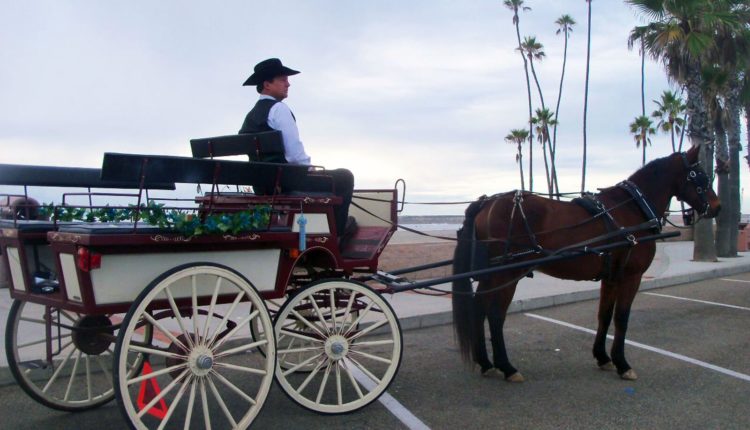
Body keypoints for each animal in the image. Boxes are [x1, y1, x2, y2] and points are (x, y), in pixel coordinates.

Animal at [452, 146, 724, 382]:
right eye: (700, 175)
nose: (718, 207)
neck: (633, 208)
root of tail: (486, 203)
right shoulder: (631, 276)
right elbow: (622, 318)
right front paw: (622, 363)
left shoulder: (611, 276)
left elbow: (604, 315)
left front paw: (603, 357)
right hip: (507, 273)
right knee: (495, 314)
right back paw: (506, 367)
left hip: (491, 274)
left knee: (479, 308)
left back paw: (486, 363)